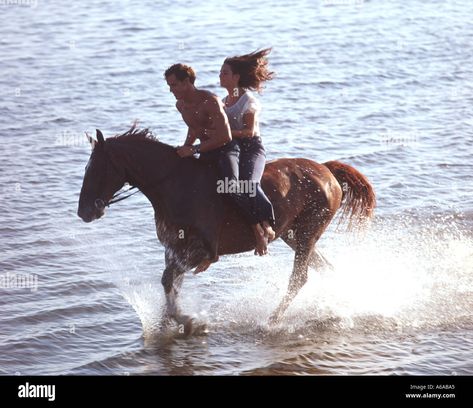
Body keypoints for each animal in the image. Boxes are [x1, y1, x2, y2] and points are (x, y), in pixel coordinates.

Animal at [77, 126, 374, 334]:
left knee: (299, 278)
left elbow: (169, 281)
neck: (176, 186)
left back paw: (272, 321)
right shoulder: (174, 249)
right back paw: (338, 307)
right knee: (325, 268)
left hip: (308, 234)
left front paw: (187, 321)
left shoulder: (202, 251)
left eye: (97, 168)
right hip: (295, 236)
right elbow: (170, 284)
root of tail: (326, 170)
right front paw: (170, 322)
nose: (84, 212)